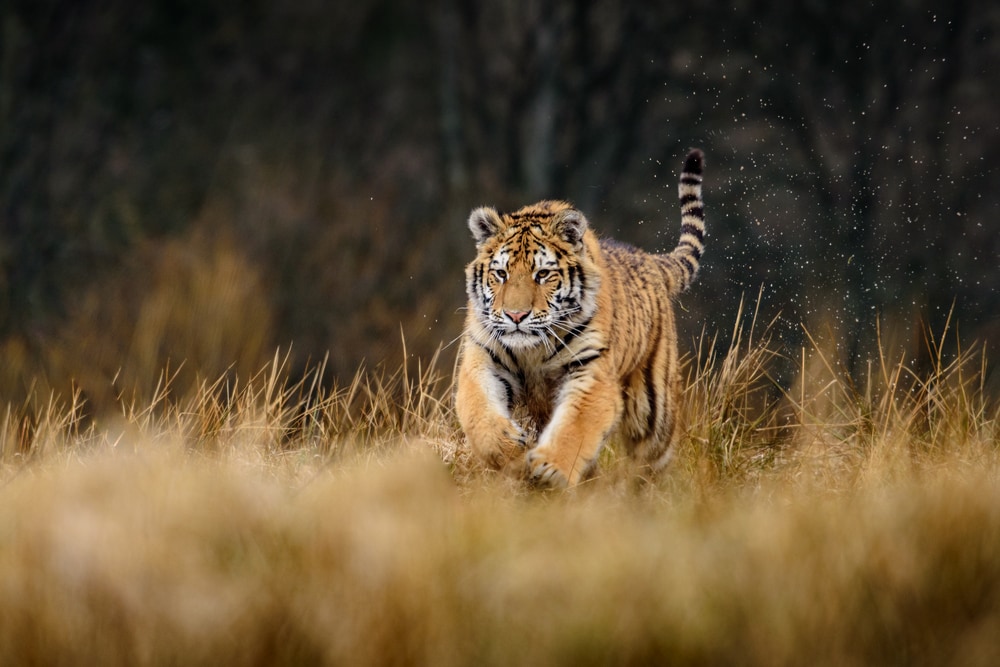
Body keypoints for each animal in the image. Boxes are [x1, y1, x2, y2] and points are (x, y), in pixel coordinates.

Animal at [455, 149, 706, 488]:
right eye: (501, 274)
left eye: (542, 274)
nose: (516, 315)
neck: (532, 348)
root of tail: (650, 260)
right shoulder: (484, 358)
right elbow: (478, 409)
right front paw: (509, 450)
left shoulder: (591, 370)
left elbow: (576, 425)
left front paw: (551, 469)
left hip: (653, 410)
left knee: (654, 457)